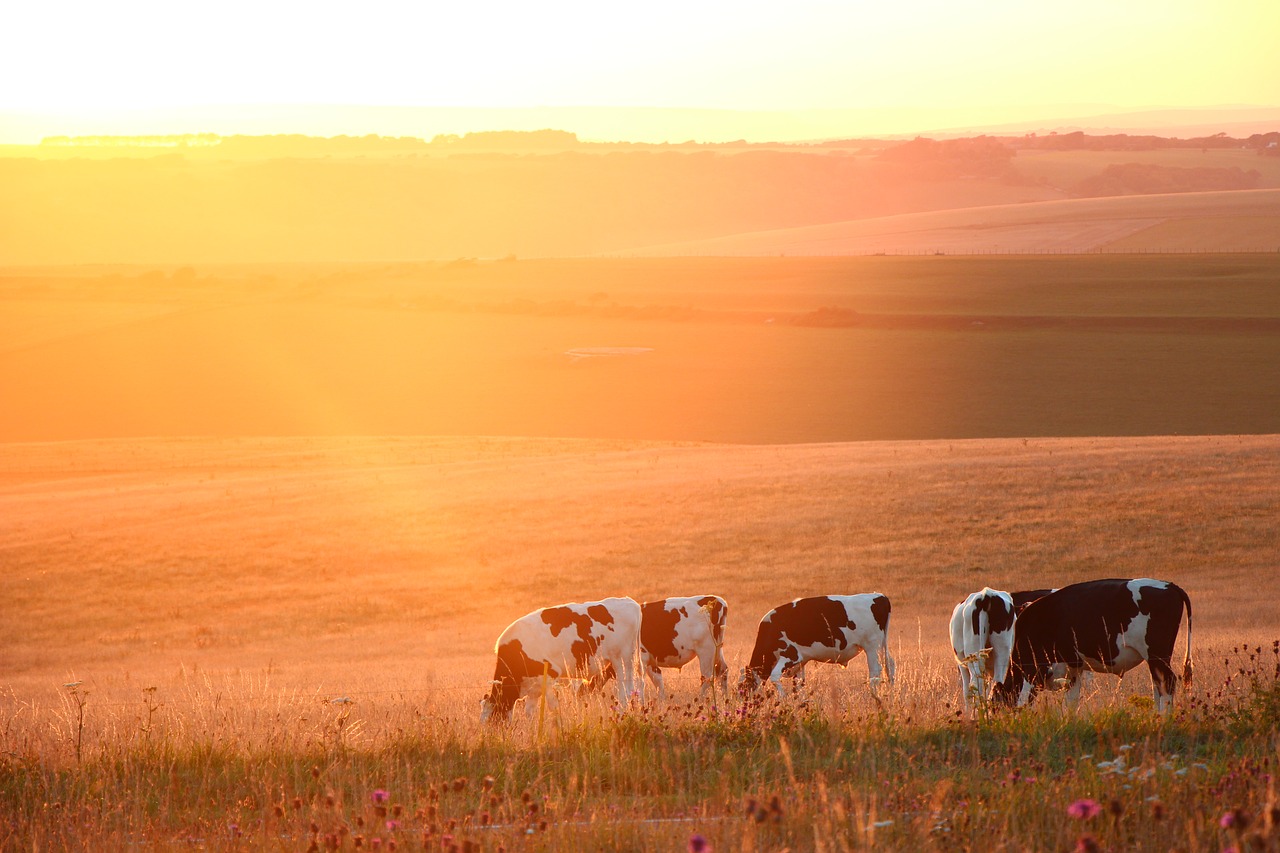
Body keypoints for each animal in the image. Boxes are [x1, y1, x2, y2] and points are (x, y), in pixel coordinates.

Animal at [478, 594, 645, 722]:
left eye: (492, 717)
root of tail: (630, 602)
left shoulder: (549, 676)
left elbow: (553, 708)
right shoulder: (533, 686)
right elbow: (529, 712)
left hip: (622, 659)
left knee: (625, 691)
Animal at [737, 591, 896, 696]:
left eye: (743, 688)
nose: (743, 708)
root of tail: (879, 596)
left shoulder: (791, 655)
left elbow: (775, 677)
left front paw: (783, 700)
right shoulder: (800, 662)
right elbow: (799, 684)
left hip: (872, 646)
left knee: (875, 672)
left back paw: (873, 697)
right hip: (882, 644)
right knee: (890, 665)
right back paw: (890, 693)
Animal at [988, 578, 1187, 712]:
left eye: (995, 708)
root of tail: (1169, 585)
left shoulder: (1033, 669)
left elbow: (1024, 701)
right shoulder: (1073, 669)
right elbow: (1071, 702)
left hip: (1157, 655)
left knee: (1167, 682)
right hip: (1155, 660)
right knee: (1158, 684)